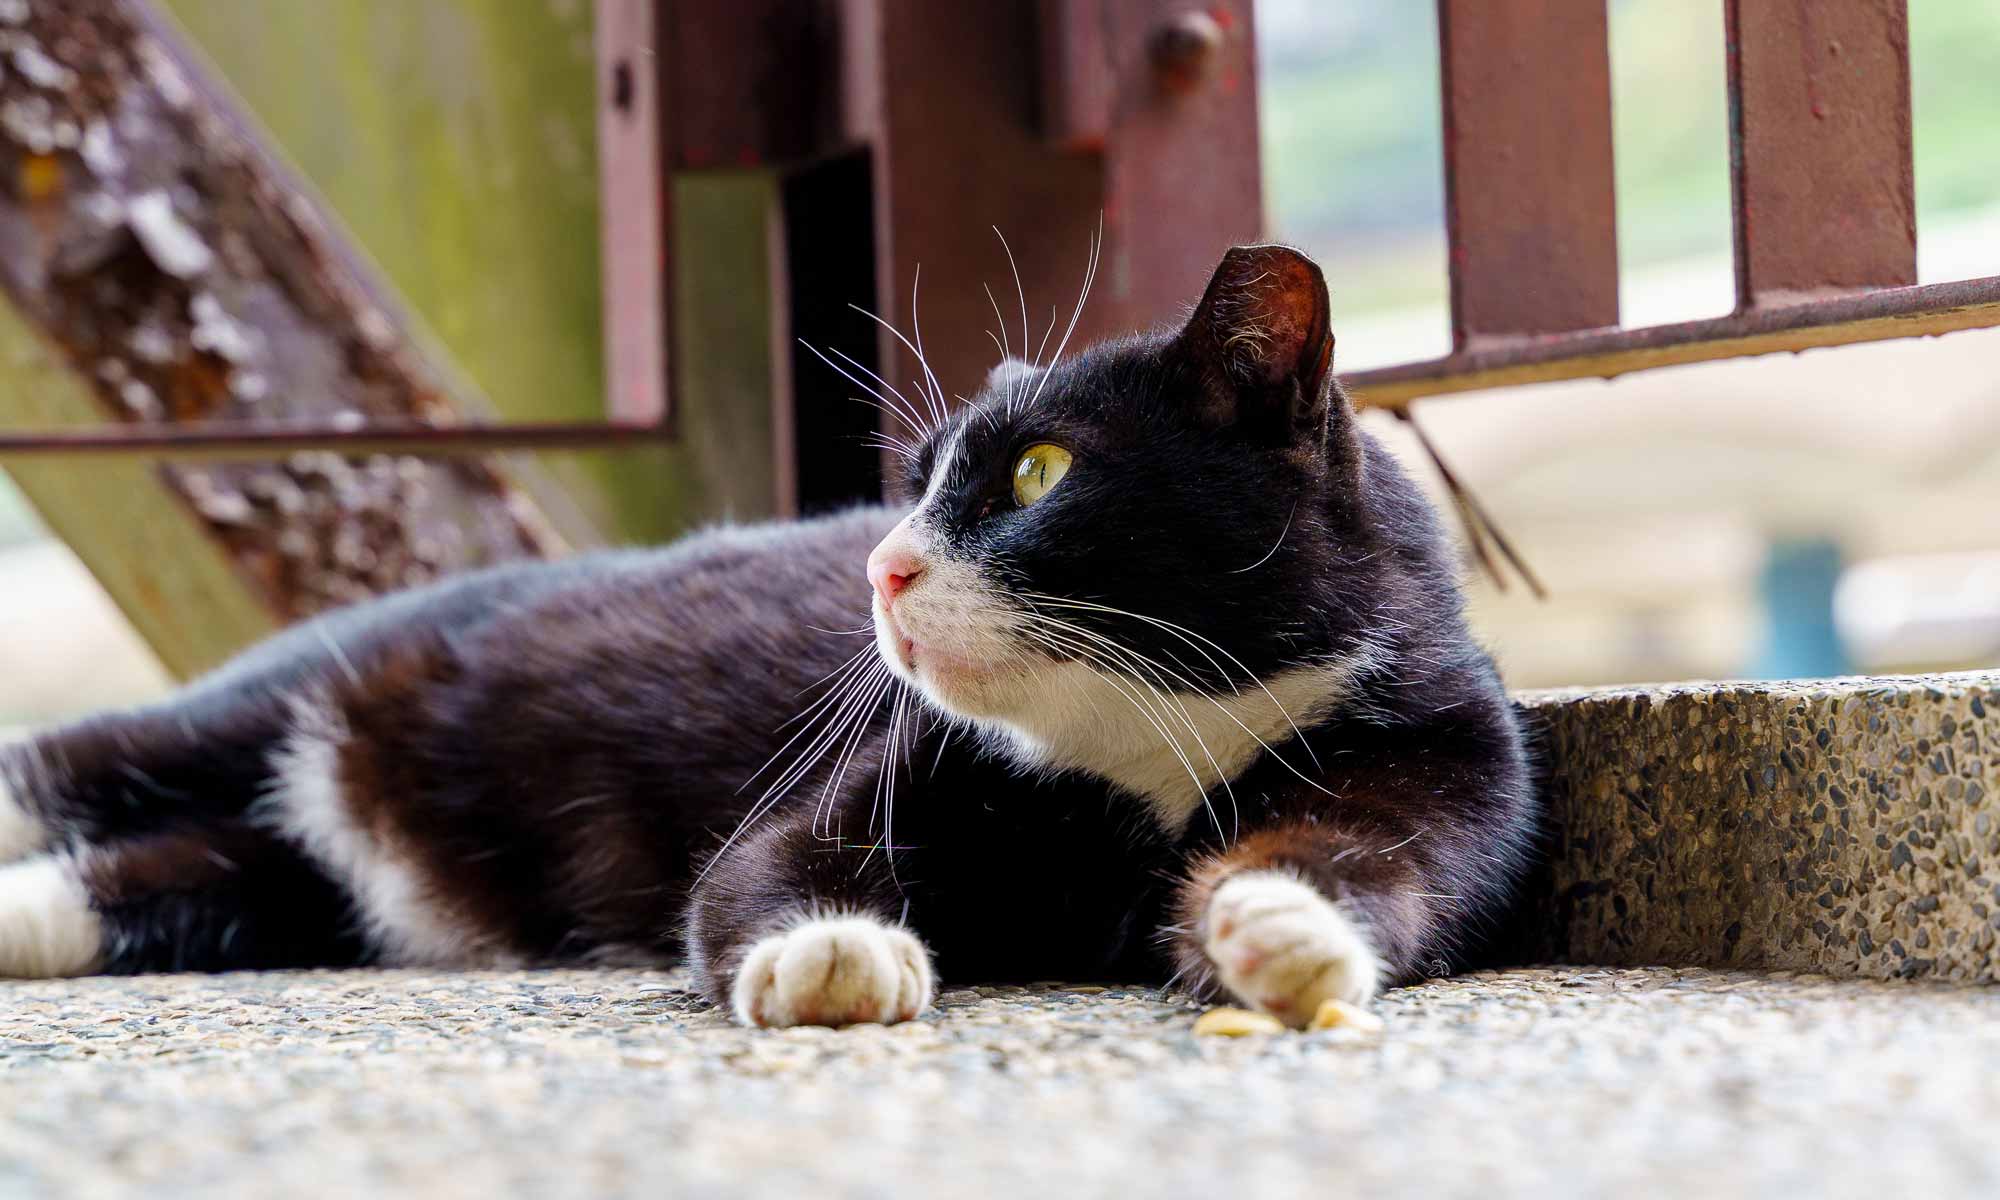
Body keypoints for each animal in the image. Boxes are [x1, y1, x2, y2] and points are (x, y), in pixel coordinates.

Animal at [0, 246, 1536, 1032]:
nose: (879, 563)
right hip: (235, 717)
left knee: (168, 879)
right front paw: (834, 957)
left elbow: (1393, 870)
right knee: (79, 772)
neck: (1149, 755)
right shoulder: (886, 774)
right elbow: (760, 870)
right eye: (913, 478)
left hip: (324, 884)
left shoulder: (1448, 764)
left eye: (1036, 472)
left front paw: (1282, 925)